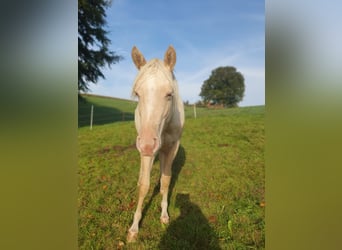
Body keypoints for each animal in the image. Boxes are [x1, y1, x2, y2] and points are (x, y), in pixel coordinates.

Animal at [127, 45, 184, 242]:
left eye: (169, 94)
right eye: (137, 94)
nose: (146, 145)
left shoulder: (172, 147)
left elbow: (166, 180)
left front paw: (164, 215)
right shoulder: (148, 152)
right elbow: (144, 186)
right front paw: (134, 228)